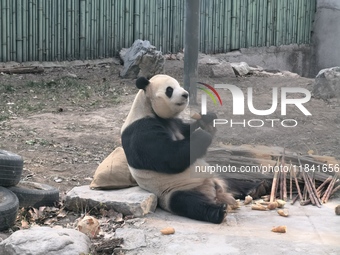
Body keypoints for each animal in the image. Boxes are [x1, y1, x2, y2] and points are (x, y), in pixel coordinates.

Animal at [121, 74, 240, 223]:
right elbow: (170, 156)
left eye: (179, 85)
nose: (186, 94)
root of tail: (214, 191)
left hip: (216, 176)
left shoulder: (175, 123)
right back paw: (220, 211)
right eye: (169, 90)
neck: (147, 108)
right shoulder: (141, 131)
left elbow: (187, 130)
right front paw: (203, 135)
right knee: (188, 202)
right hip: (173, 191)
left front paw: (207, 118)